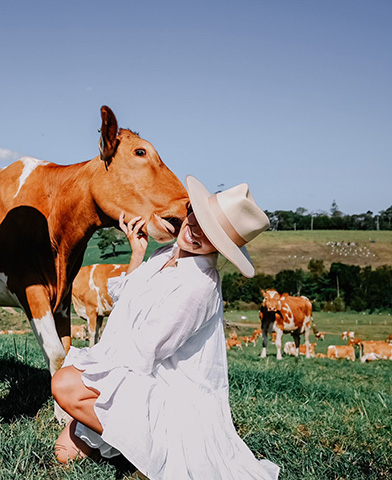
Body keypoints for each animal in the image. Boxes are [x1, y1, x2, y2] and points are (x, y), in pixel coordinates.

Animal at [0, 107, 188, 418]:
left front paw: (62, 413)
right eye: (140, 152)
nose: (188, 205)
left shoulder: (62, 295)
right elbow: (56, 352)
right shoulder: (29, 285)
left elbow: (65, 350)